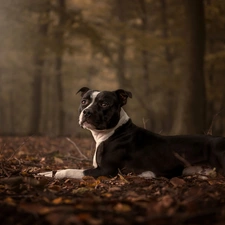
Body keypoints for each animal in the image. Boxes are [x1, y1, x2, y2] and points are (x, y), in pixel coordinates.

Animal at [39, 87, 225, 178]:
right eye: (84, 101)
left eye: (104, 104)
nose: (87, 112)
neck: (113, 132)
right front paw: (44, 172)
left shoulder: (106, 170)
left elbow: (69, 170)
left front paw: (50, 174)